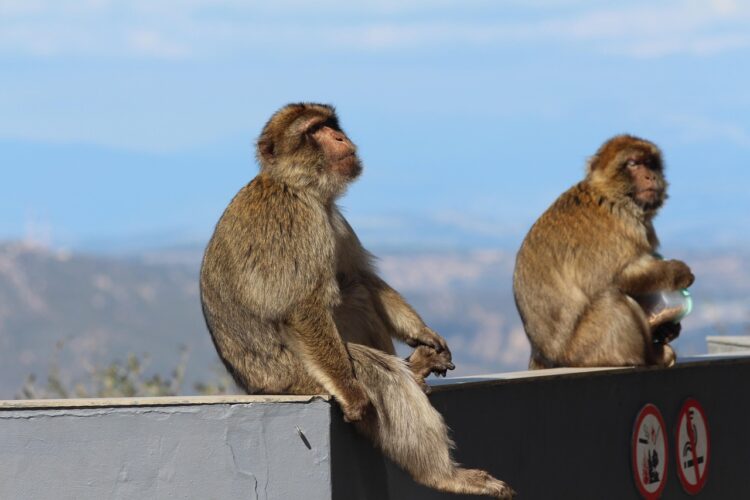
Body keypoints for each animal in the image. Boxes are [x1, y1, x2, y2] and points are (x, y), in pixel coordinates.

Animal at [200, 103, 515, 499]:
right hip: (296, 375)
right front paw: (353, 394)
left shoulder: (332, 217)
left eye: (331, 124)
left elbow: (360, 277)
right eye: (314, 130)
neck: (300, 187)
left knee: (357, 293)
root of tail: (253, 385)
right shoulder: (296, 219)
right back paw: (443, 475)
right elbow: (301, 307)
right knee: (377, 373)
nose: (339, 137)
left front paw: (423, 333)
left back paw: (417, 370)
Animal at [513, 135, 694, 369]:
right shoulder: (620, 225)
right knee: (612, 300)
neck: (610, 195)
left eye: (650, 163)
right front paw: (678, 273)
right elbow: (616, 278)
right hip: (587, 349)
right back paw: (652, 356)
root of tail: (543, 355)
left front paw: (666, 328)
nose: (651, 175)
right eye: (633, 164)